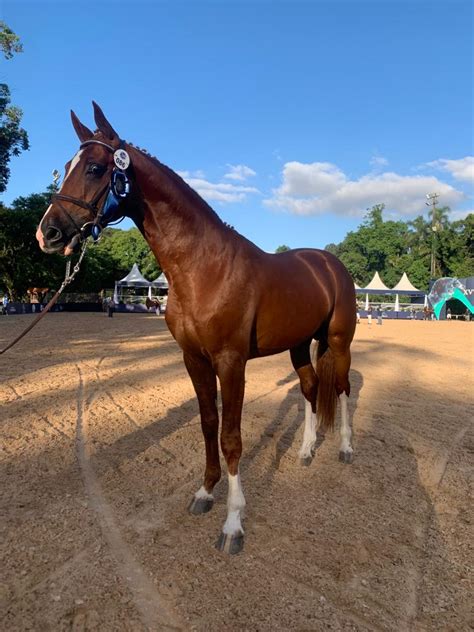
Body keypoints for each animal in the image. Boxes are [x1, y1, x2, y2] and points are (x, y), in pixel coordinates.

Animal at [36, 103, 356, 552]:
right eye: (66, 167)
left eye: (96, 168)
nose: (47, 233)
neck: (204, 267)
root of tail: (329, 263)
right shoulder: (194, 359)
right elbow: (208, 425)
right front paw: (205, 492)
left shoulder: (231, 362)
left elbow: (231, 437)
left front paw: (233, 524)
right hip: (298, 344)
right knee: (311, 388)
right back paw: (307, 451)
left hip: (339, 341)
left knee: (342, 388)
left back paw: (344, 448)